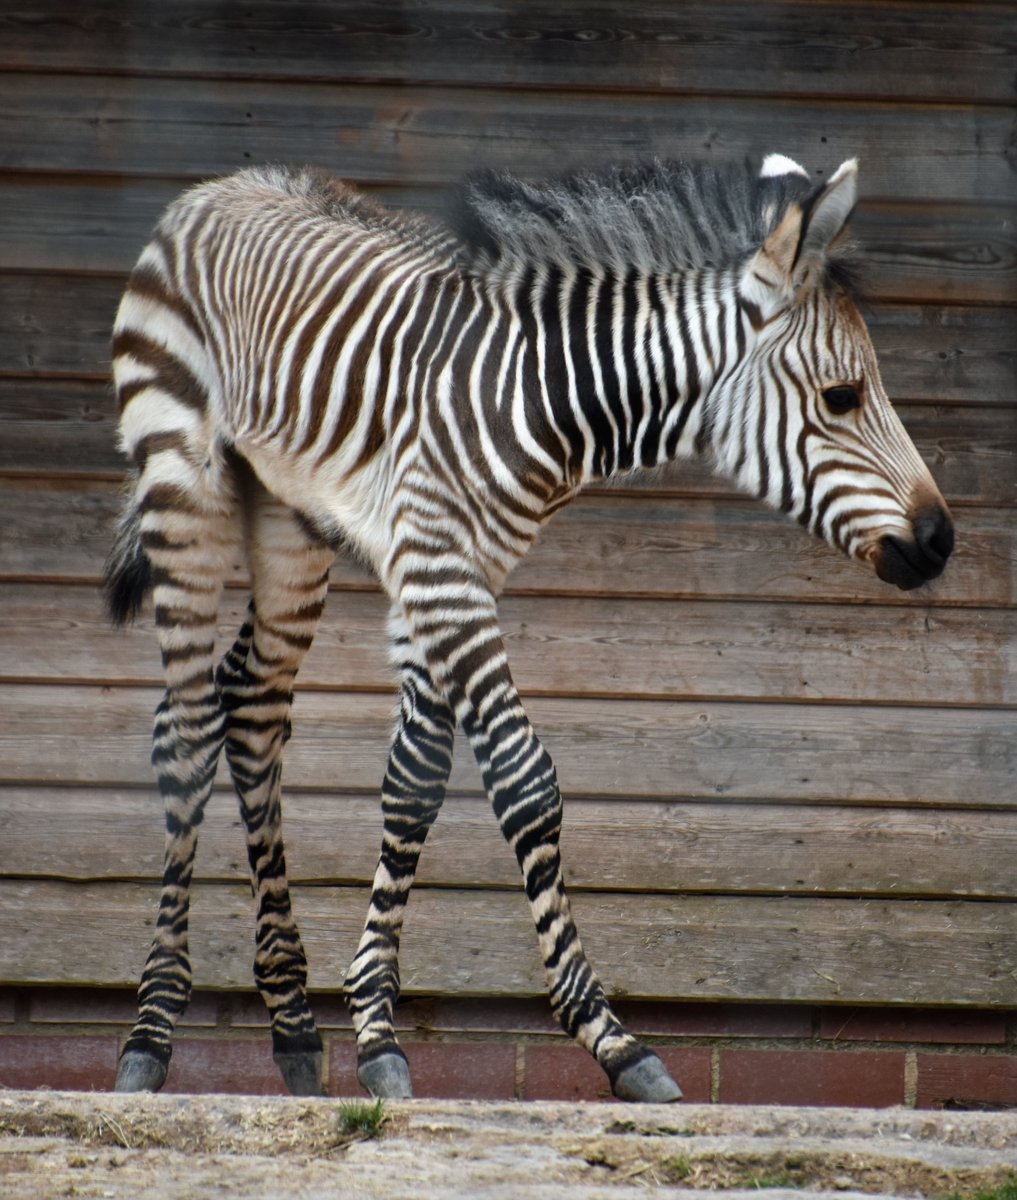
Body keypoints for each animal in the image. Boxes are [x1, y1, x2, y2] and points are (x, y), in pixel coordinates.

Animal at [105, 151, 953, 1103]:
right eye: (841, 398)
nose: (940, 541)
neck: (546, 399)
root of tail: (218, 187)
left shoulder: (454, 573)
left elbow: (412, 784)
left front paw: (374, 1032)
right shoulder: (438, 569)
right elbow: (526, 784)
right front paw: (612, 1041)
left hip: (290, 523)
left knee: (249, 711)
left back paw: (291, 1027)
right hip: (183, 486)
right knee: (184, 733)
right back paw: (150, 1036)